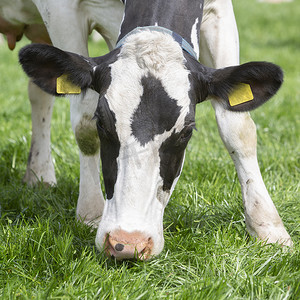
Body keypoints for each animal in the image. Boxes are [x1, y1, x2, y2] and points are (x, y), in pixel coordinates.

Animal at [17, 0, 292, 260]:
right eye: (102, 124)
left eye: (186, 132)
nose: (127, 243)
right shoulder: (61, 11)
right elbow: (83, 122)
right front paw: (90, 213)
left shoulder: (220, 12)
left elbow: (237, 126)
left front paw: (269, 228)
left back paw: (38, 174)